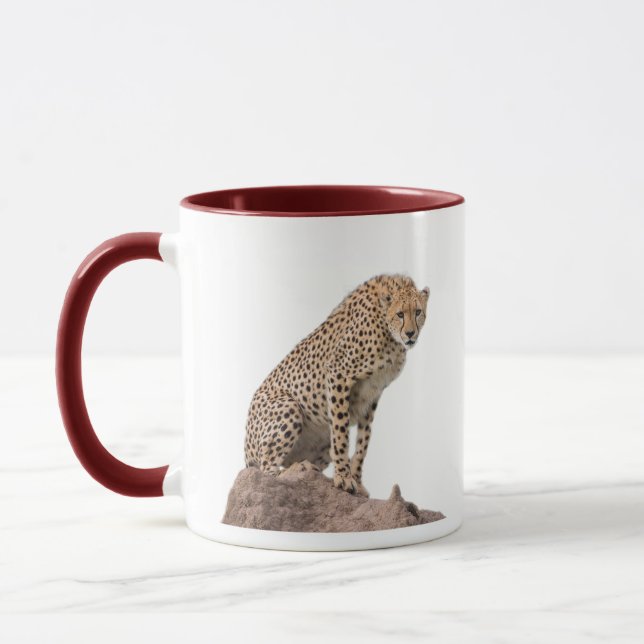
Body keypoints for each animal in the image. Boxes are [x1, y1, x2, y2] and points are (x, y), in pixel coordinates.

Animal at [243, 274, 430, 496]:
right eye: (400, 314)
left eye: (418, 312)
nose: (410, 334)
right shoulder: (338, 374)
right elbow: (341, 433)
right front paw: (343, 478)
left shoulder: (373, 393)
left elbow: (363, 442)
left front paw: (356, 480)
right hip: (289, 406)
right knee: (267, 470)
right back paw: (299, 468)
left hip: (322, 439)